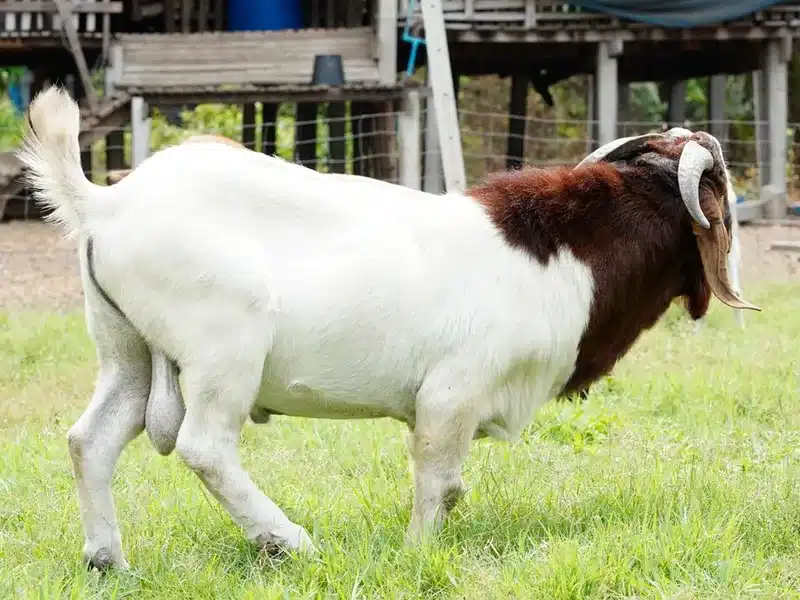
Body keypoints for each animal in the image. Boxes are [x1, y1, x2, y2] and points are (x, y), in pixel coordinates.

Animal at [18, 86, 759, 570]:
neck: (563, 250)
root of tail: (105, 203)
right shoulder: (452, 393)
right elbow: (440, 482)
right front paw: (416, 554)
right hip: (223, 348)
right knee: (205, 447)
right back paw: (287, 540)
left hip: (127, 351)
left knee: (91, 439)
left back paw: (107, 559)